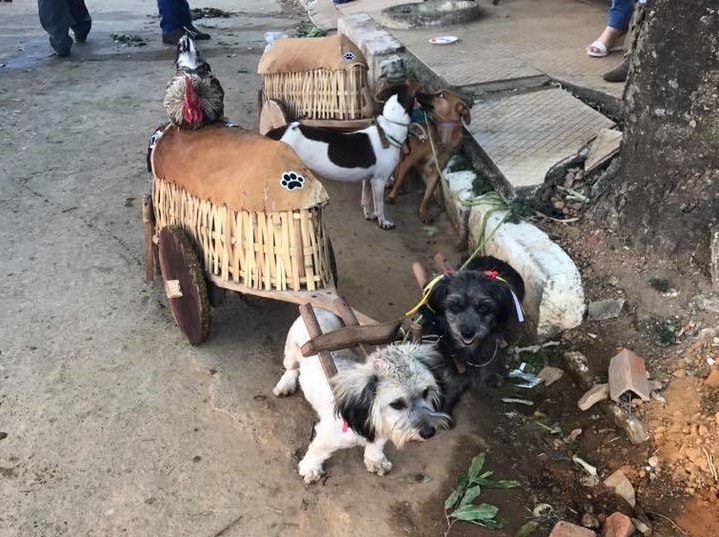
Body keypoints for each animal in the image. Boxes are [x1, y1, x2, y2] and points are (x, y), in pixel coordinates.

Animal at [266, 85, 416, 228]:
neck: (388, 131)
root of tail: (274, 133)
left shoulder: (369, 178)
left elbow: (366, 200)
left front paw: (369, 215)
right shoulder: (379, 180)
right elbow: (380, 206)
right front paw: (384, 222)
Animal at [272, 308, 452, 484]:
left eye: (426, 392)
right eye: (397, 404)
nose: (429, 432)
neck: (364, 423)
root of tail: (317, 309)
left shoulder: (381, 432)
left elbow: (376, 446)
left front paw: (376, 460)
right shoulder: (326, 437)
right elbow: (317, 450)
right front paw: (310, 467)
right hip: (292, 354)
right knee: (292, 369)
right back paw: (286, 384)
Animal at [388, 89, 472, 222]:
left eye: (441, 95)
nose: (416, 92)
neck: (440, 137)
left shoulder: (436, 171)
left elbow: (427, 194)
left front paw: (423, 212)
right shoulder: (410, 160)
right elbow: (400, 180)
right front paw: (392, 196)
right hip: (403, 151)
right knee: (398, 167)